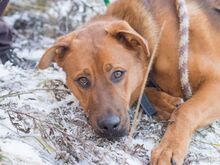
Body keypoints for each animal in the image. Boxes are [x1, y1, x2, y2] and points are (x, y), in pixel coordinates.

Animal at [37, 0, 220, 164]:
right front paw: (164, 102)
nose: (109, 127)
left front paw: (169, 147)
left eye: (118, 73)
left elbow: (185, 110)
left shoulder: (216, 81)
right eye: (82, 80)